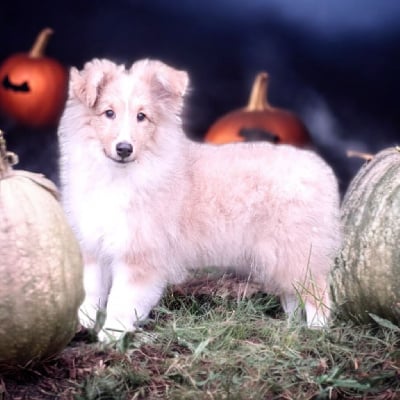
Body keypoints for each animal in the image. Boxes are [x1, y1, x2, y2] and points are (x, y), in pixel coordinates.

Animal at [57, 58, 340, 340]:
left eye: (142, 116)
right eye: (108, 113)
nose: (124, 149)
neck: (119, 174)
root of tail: (320, 170)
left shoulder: (139, 253)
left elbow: (122, 298)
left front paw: (112, 333)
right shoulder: (94, 246)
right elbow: (91, 290)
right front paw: (81, 323)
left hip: (297, 249)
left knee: (318, 292)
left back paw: (316, 331)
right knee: (293, 294)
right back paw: (291, 328)